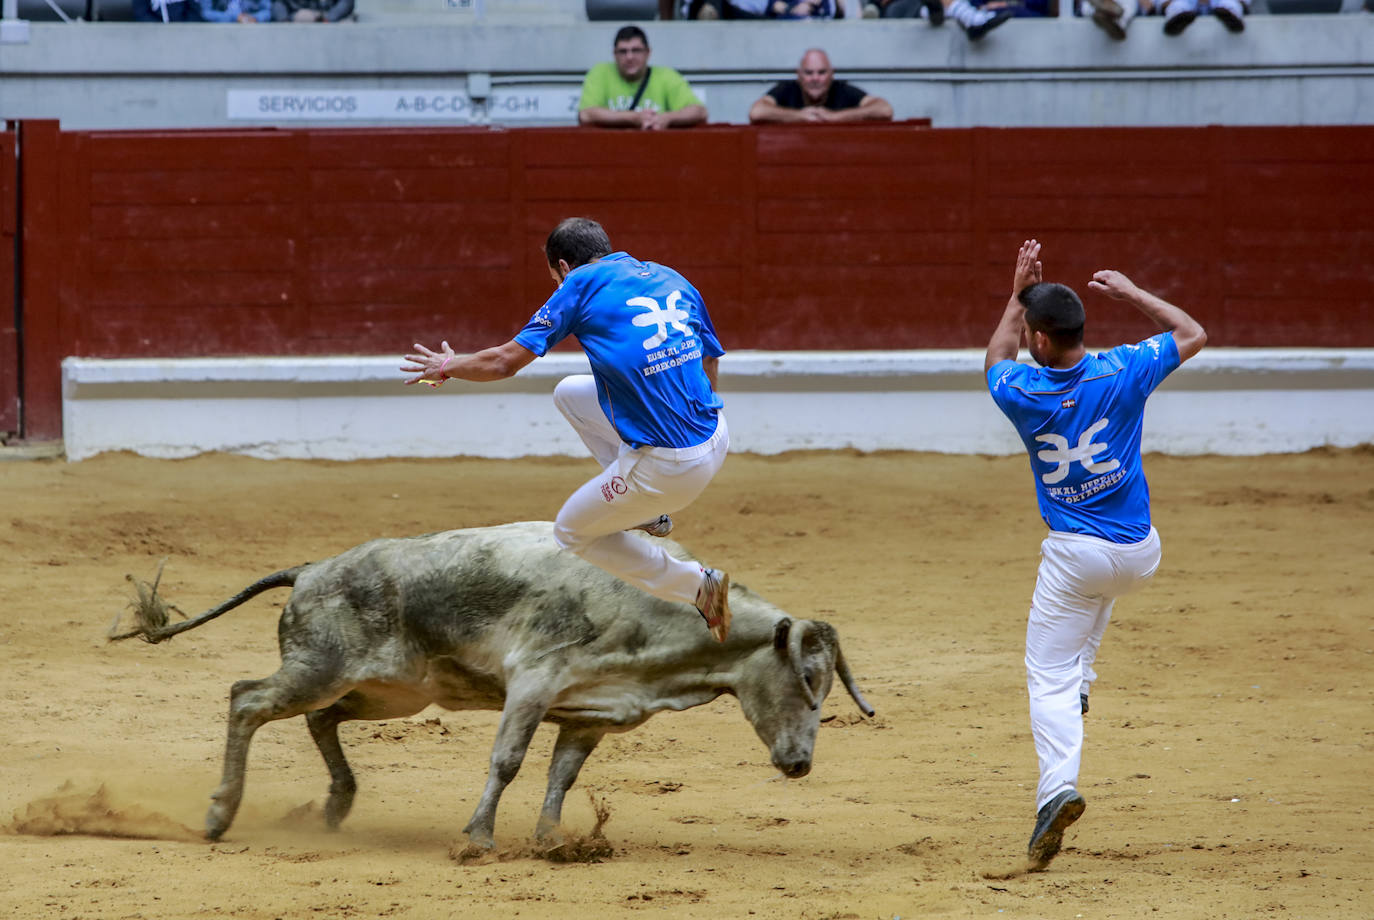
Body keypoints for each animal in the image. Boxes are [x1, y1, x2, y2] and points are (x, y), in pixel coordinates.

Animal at [112, 521, 873, 856]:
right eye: (807, 678)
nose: (799, 764)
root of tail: (310, 569)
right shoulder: (533, 682)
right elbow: (507, 761)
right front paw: (478, 838)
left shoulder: (591, 714)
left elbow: (562, 775)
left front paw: (554, 839)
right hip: (319, 669)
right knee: (247, 698)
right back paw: (219, 815)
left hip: (392, 691)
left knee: (320, 721)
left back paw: (335, 805)